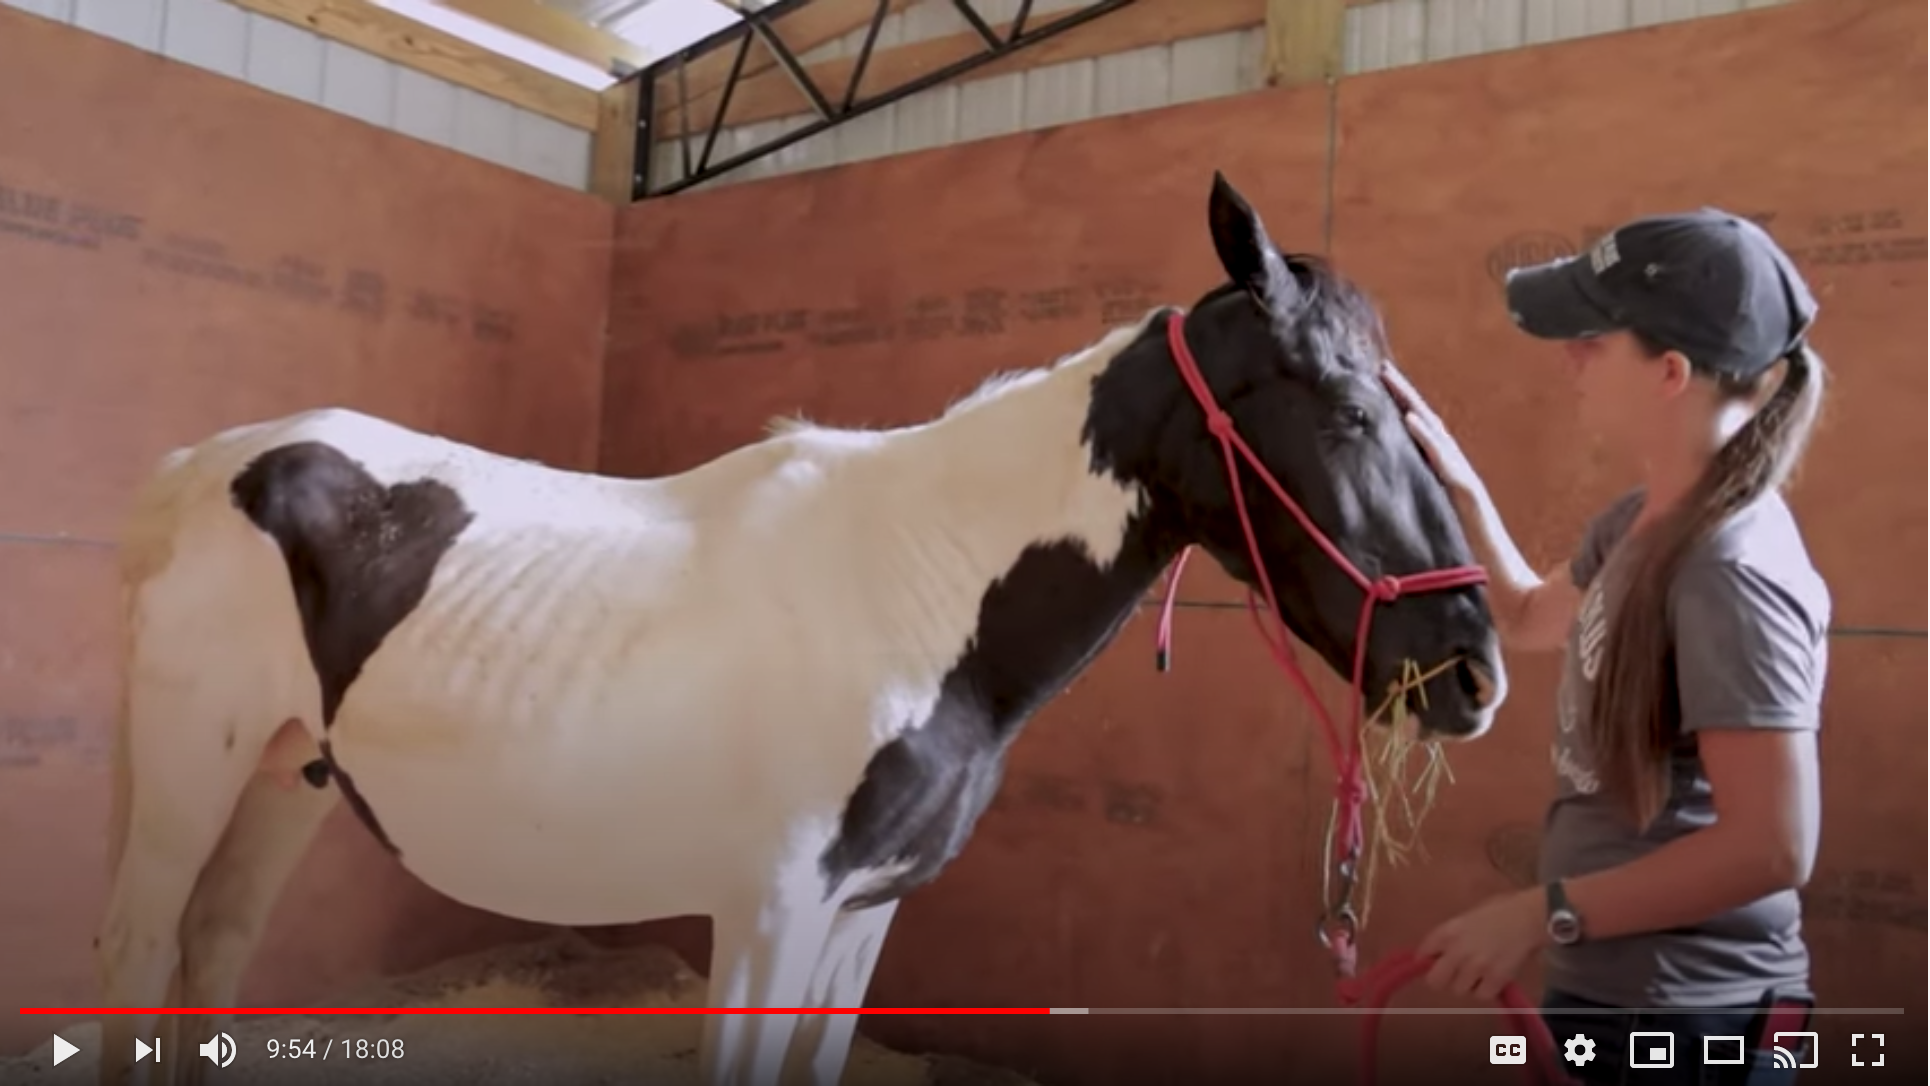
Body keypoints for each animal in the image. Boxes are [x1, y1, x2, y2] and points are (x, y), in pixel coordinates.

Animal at [95, 173, 1508, 1086]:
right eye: (1347, 411)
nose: (1473, 675)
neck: (915, 590)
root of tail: (200, 464)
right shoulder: (766, 916)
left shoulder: (859, 917)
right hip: (188, 777)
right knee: (140, 960)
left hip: (286, 773)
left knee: (210, 957)